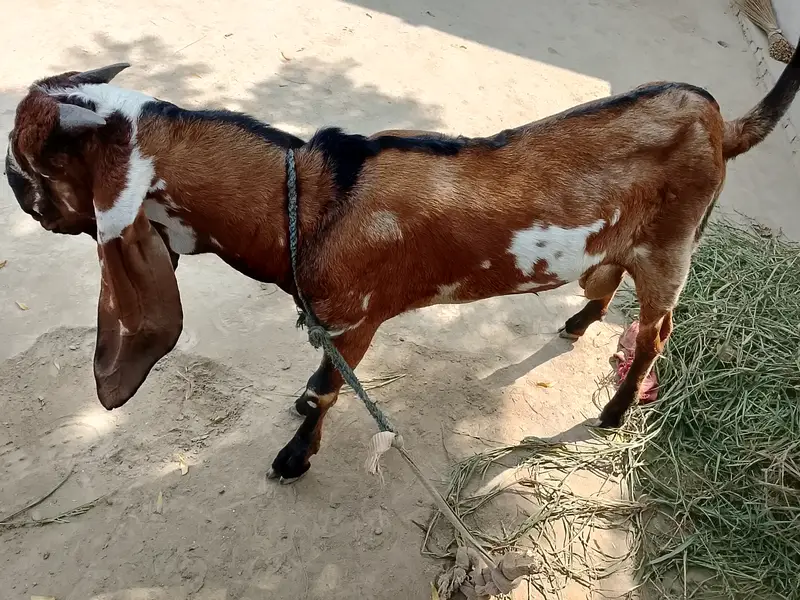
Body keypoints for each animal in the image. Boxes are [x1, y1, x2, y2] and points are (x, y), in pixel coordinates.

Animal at [6, 47, 800, 483]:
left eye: (27, 160)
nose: (15, 192)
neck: (309, 194)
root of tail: (717, 122)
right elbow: (316, 382)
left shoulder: (357, 322)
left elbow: (328, 391)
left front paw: (294, 458)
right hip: (620, 247)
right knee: (604, 283)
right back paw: (578, 323)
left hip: (672, 247)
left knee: (656, 331)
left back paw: (612, 412)